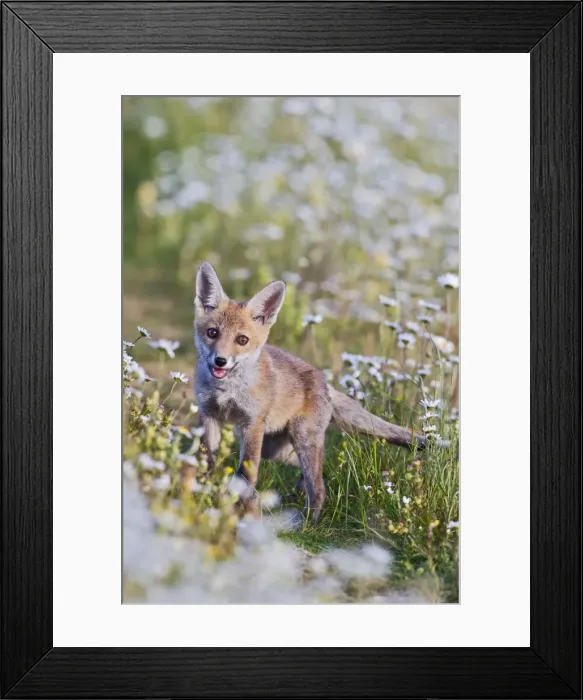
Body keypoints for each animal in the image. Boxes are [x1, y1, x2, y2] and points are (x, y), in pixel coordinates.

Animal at [194, 261, 426, 523]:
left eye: (242, 340)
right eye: (212, 333)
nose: (220, 361)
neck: (226, 389)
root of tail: (323, 381)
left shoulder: (251, 424)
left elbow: (246, 474)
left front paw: (238, 509)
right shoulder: (209, 415)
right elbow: (207, 459)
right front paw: (207, 491)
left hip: (300, 438)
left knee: (319, 486)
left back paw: (306, 523)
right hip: (275, 449)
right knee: (315, 471)